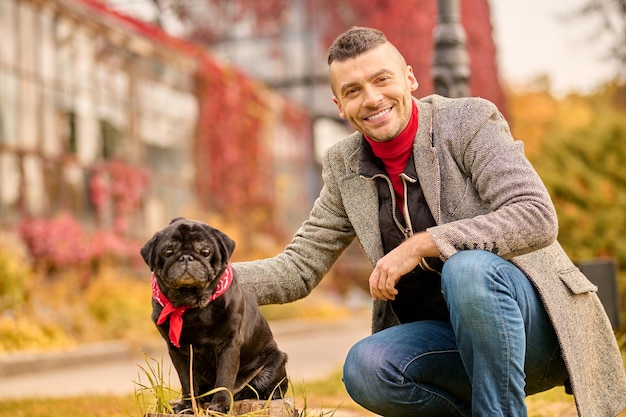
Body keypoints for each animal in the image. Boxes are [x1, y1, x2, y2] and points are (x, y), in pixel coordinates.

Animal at [140, 218, 286, 412]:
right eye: (167, 252)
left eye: (206, 251)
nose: (186, 257)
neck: (191, 305)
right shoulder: (178, 351)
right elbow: (187, 381)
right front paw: (187, 406)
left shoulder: (228, 345)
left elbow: (224, 378)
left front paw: (220, 406)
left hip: (275, 361)